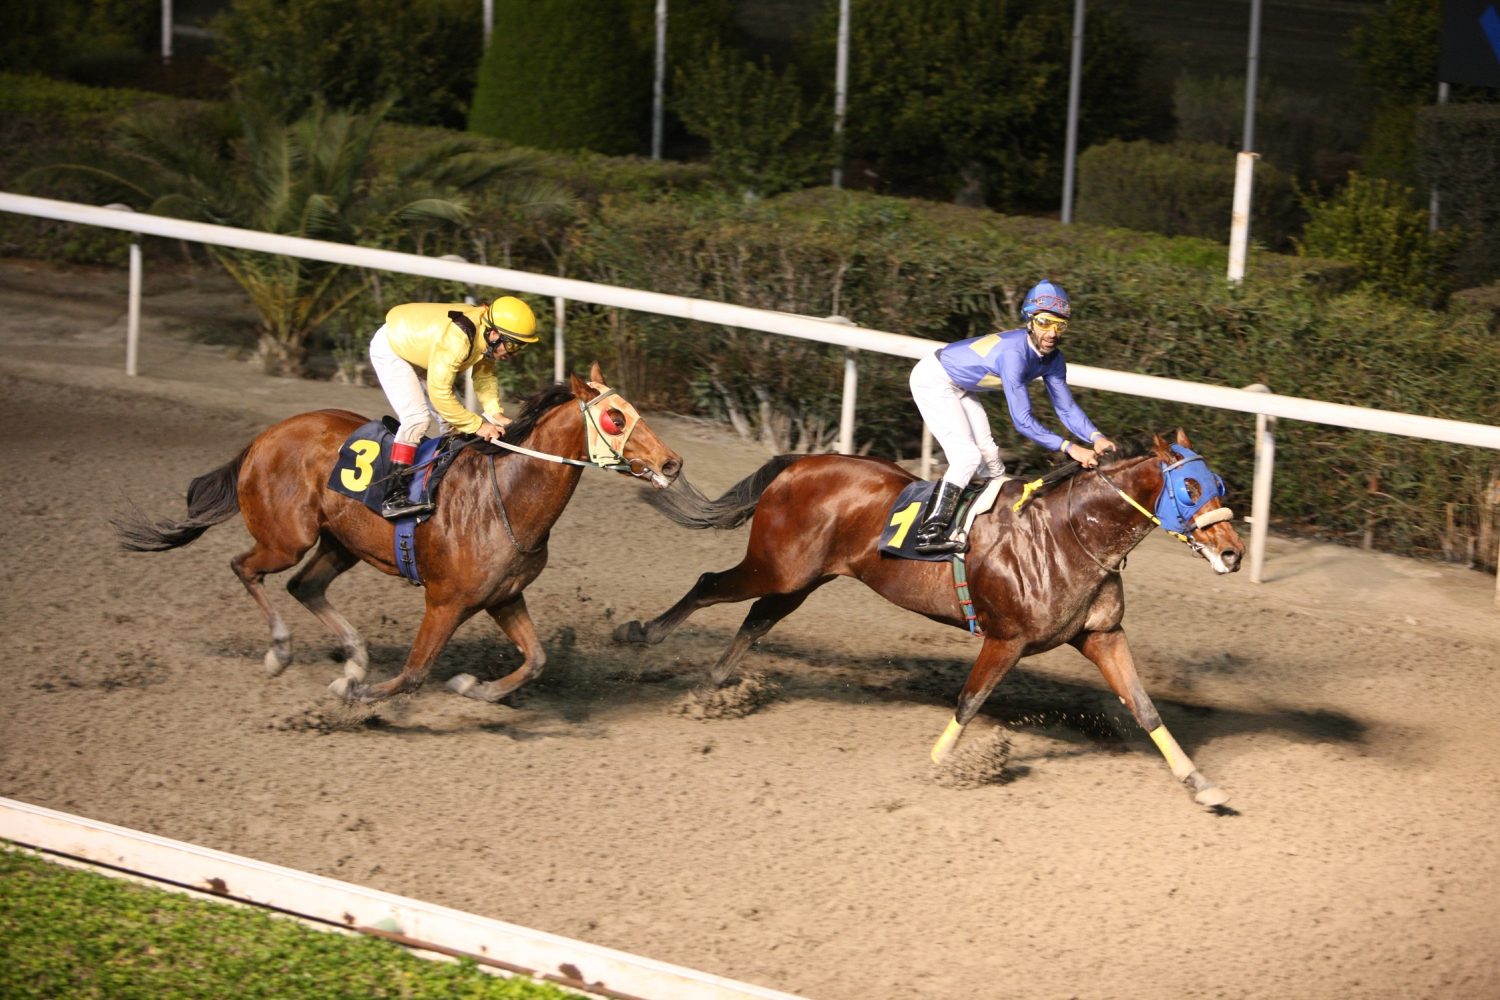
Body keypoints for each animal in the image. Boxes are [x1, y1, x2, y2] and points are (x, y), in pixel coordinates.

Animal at [117, 365, 681, 704]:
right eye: (616, 417)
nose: (671, 463)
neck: (506, 497)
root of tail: (264, 437)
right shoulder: (446, 601)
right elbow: (413, 673)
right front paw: (356, 696)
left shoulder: (503, 597)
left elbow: (537, 660)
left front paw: (474, 687)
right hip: (286, 539)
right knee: (246, 568)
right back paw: (282, 651)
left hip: (340, 544)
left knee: (304, 586)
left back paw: (354, 660)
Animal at [615, 428, 1248, 803]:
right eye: (1190, 487)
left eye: (1218, 483)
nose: (1233, 553)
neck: (1072, 533)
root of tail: (802, 463)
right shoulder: (1006, 638)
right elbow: (970, 701)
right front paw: (941, 766)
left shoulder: (1102, 636)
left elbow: (1144, 707)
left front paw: (1199, 782)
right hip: (776, 566)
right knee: (709, 586)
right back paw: (638, 635)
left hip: (802, 579)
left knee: (757, 620)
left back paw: (710, 691)